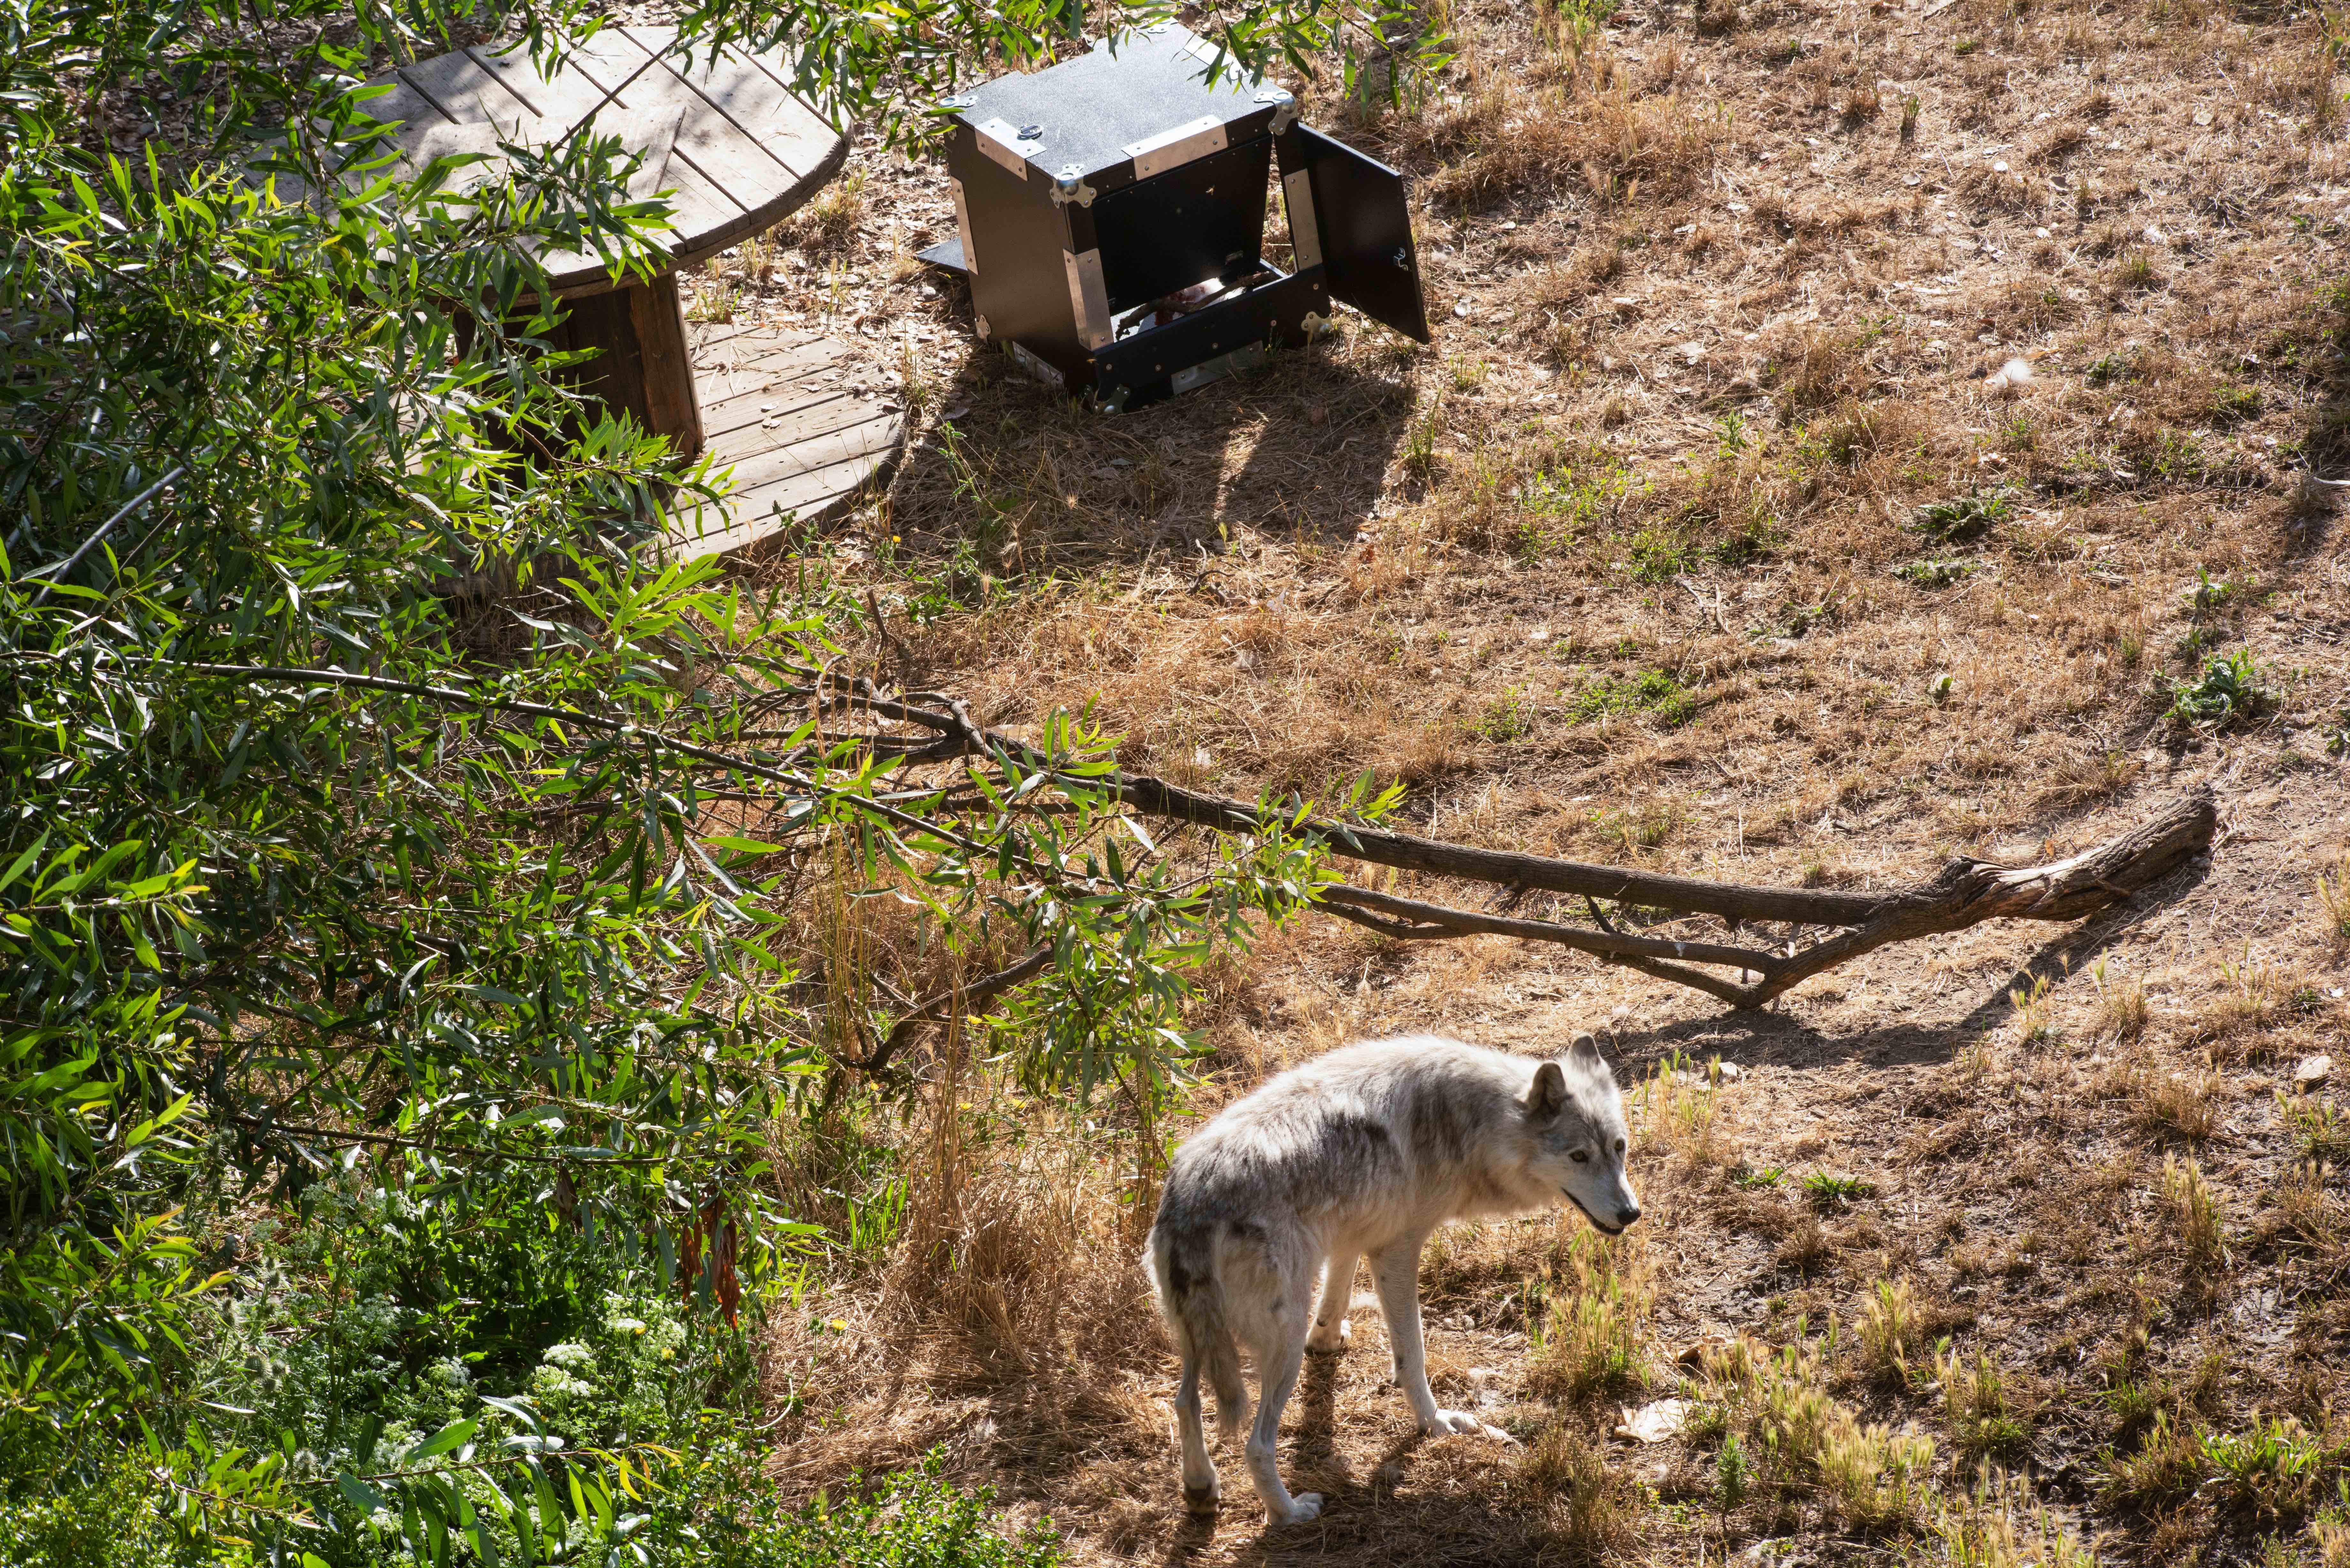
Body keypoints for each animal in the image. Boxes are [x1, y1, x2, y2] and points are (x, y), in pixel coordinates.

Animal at [1137, 1034, 1635, 1523]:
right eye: (1578, 1156)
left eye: (1619, 1147)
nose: (1631, 1213)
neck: (1470, 1124)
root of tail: (1193, 1200)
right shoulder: (1398, 1250)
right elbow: (1412, 1357)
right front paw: (1436, 1424)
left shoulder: (1352, 1233)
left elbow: (1338, 1289)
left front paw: (1328, 1339)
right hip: (1282, 1341)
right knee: (1255, 1445)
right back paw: (1290, 1513)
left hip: (1197, 1342)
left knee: (1184, 1401)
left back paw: (1200, 1489)